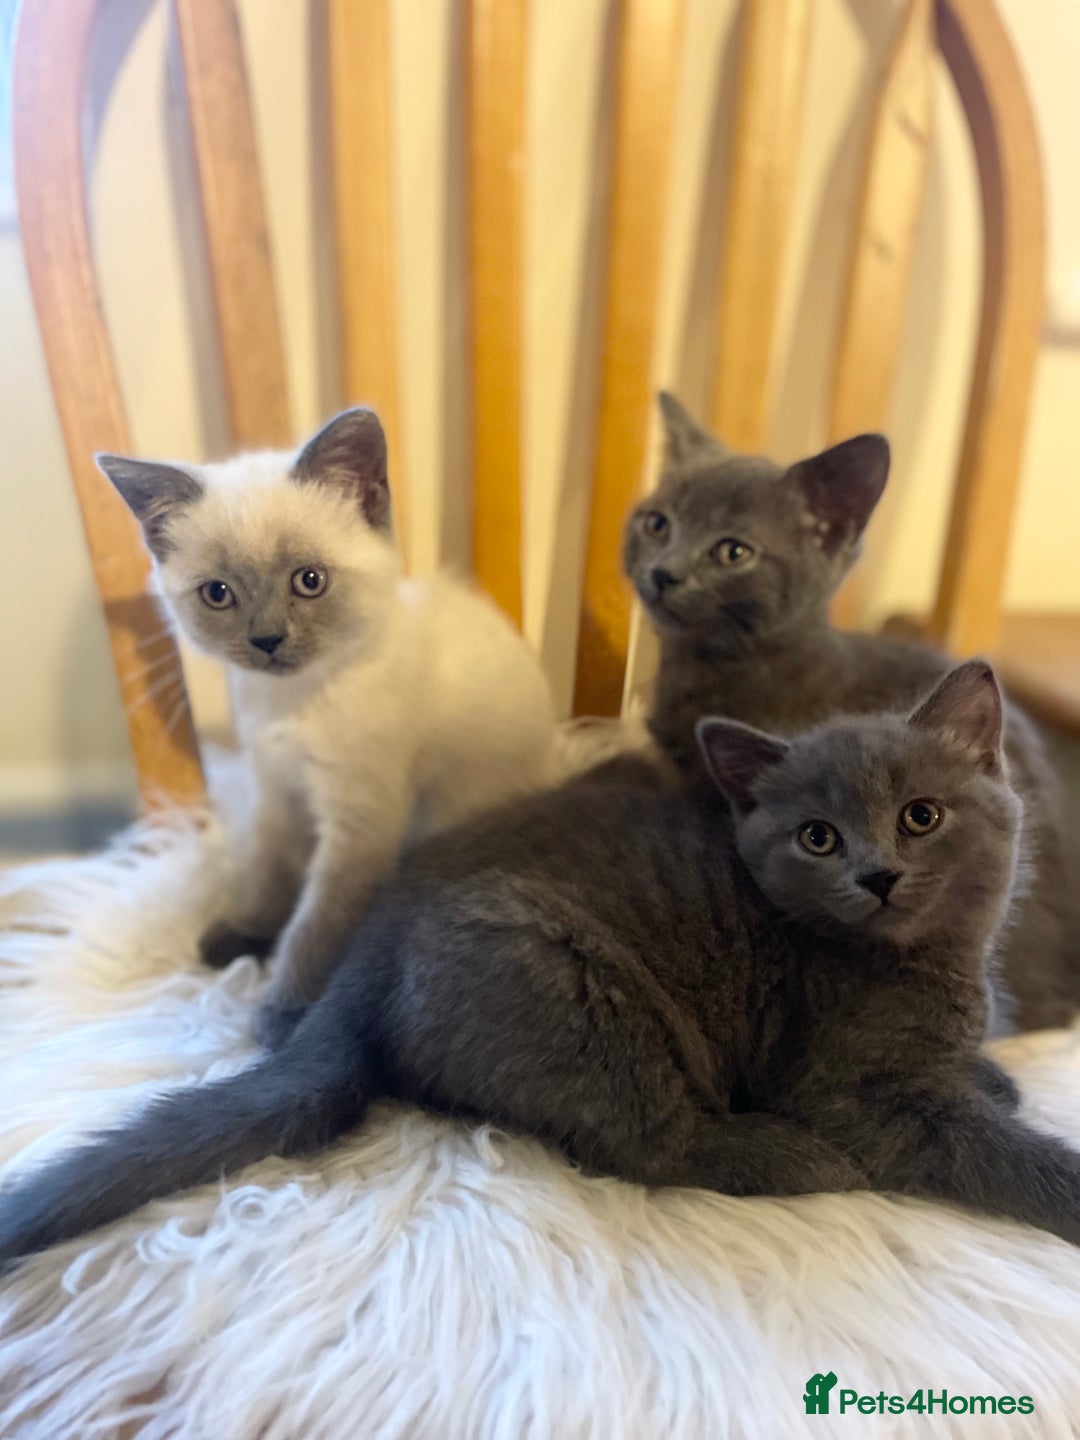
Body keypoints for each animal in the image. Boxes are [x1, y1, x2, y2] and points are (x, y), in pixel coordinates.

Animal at [6, 659, 1080, 1266]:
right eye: (817, 837)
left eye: (922, 816)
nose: (878, 874)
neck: (936, 961)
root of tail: (365, 959)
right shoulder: (847, 1091)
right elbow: (982, 1145)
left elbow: (970, 1080)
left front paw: (991, 1075)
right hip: (574, 985)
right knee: (649, 1140)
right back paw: (789, 1157)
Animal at [98, 408, 558, 1047]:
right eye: (218, 593)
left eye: (309, 581)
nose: (267, 640)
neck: (290, 704)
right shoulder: (276, 789)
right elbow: (268, 873)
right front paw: (243, 934)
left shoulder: (357, 827)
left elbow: (314, 926)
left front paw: (280, 1017)